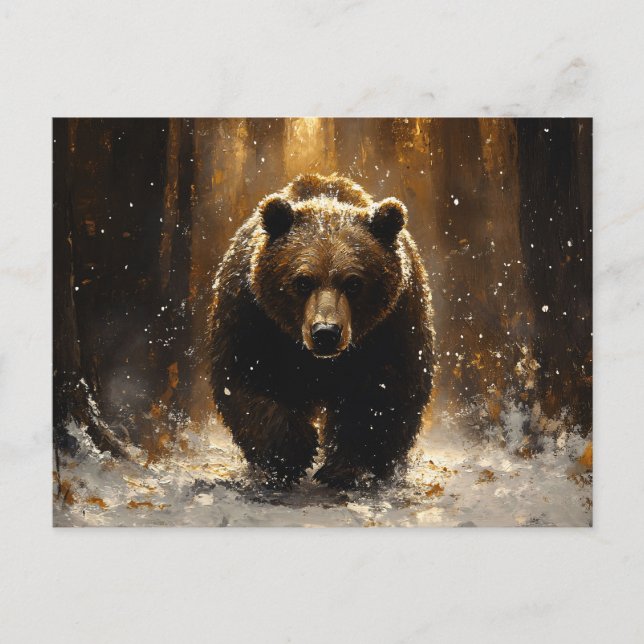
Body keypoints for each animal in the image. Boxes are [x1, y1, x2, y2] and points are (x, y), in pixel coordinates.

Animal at [210, 174, 433, 488]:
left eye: (354, 283)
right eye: (303, 281)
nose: (325, 332)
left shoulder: (393, 324)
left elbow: (385, 394)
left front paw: (345, 468)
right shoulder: (252, 316)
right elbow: (246, 380)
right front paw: (292, 455)